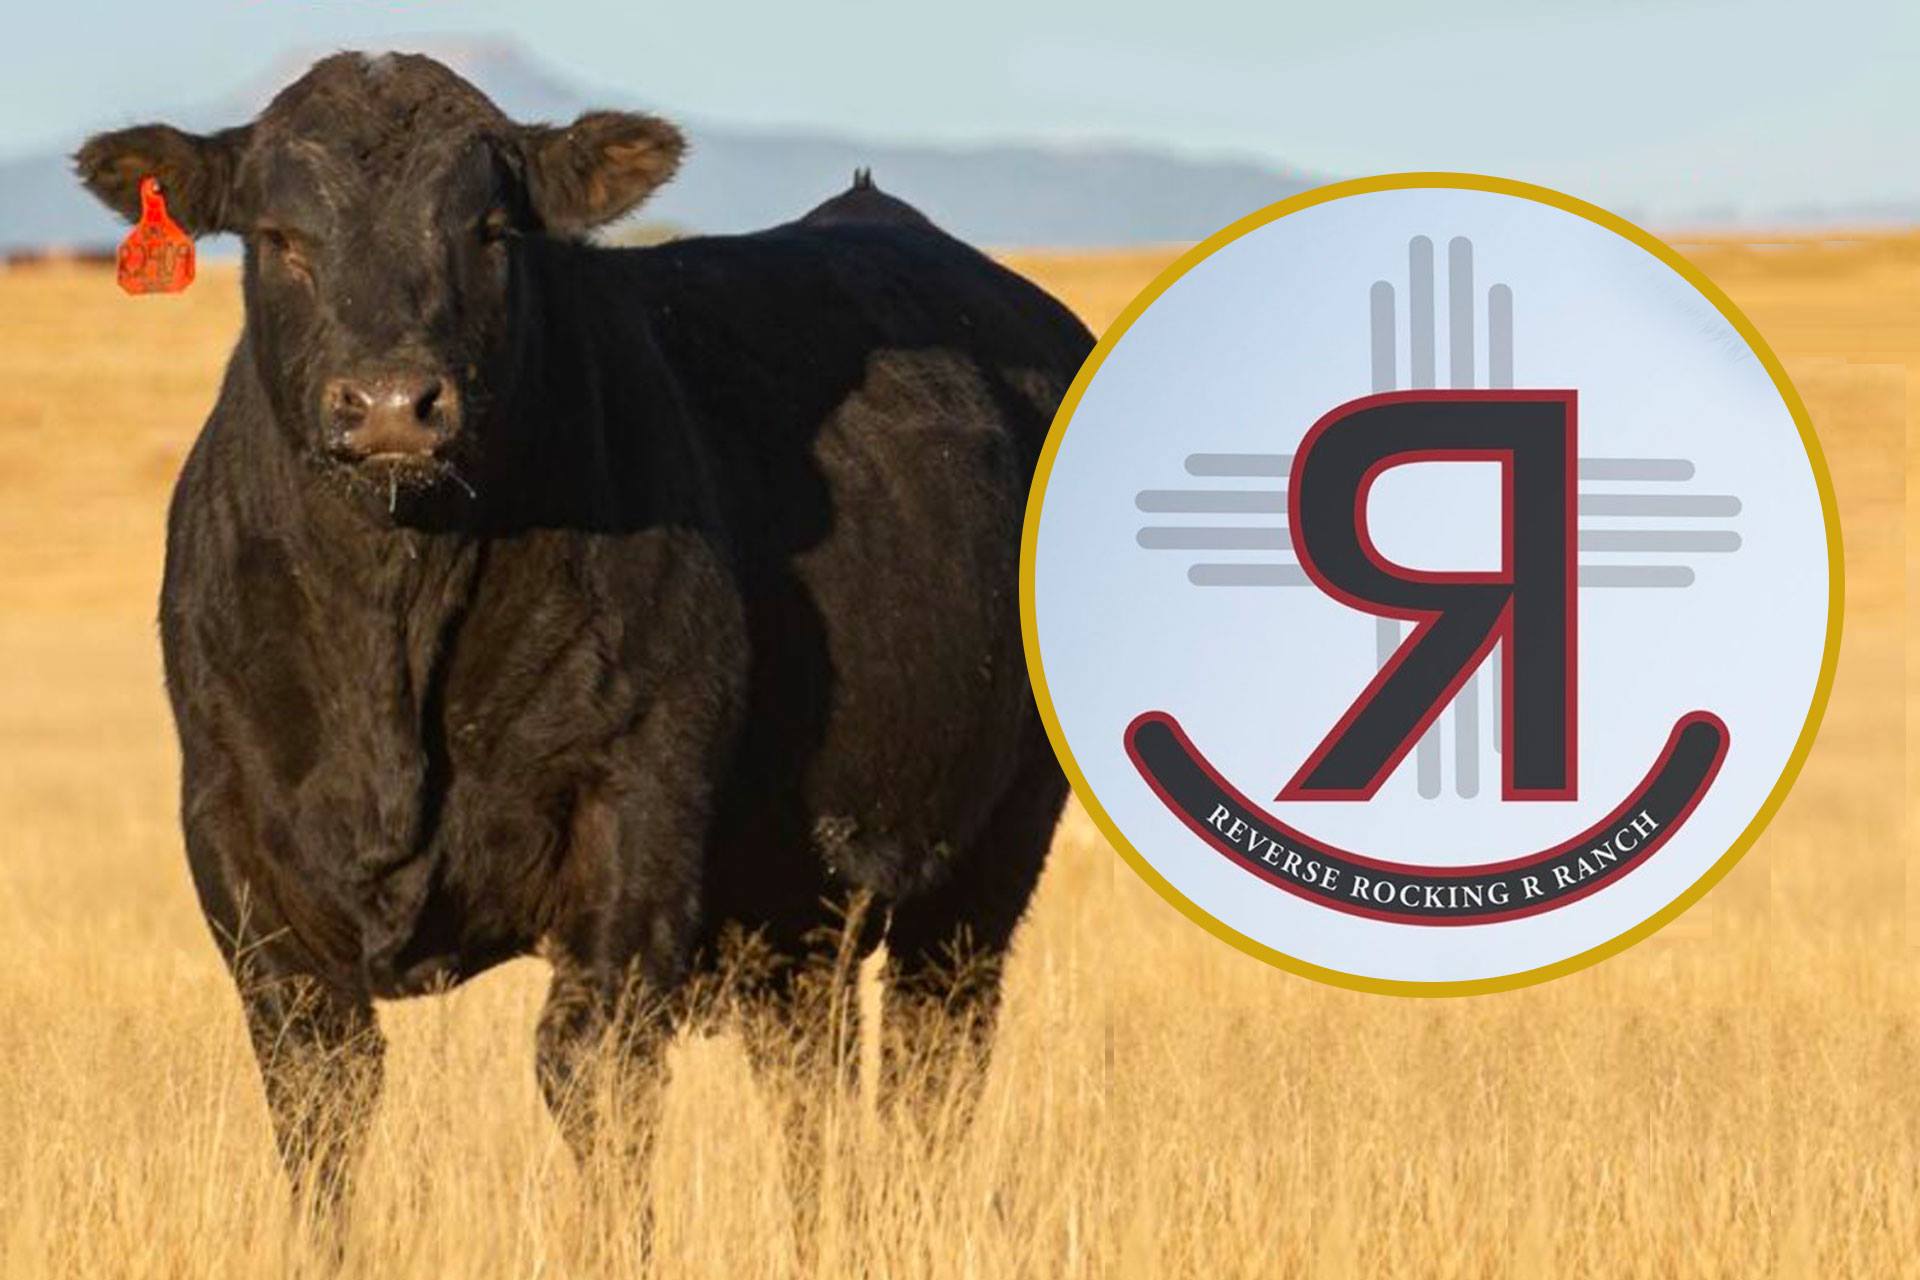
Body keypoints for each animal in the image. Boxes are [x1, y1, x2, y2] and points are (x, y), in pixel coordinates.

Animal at [74, 51, 1090, 1215]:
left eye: (490, 230)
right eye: (281, 235)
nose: (391, 403)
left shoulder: (635, 820)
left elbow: (593, 1077)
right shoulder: (238, 854)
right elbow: (323, 1108)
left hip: (987, 860)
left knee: (930, 1069)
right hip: (799, 914)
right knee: (813, 1084)